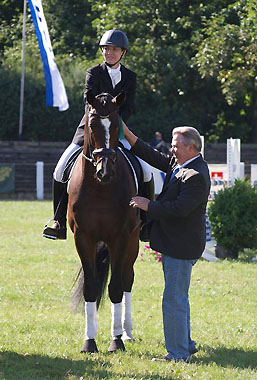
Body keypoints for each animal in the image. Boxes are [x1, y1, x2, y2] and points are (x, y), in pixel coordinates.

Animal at [67, 90, 141, 354]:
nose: (105, 172)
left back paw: (126, 332)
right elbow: (90, 287)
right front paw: (89, 342)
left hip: (133, 241)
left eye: (117, 124)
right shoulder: (83, 237)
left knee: (127, 278)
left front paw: (116, 341)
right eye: (92, 125)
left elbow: (116, 287)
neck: (100, 189)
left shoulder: (120, 237)